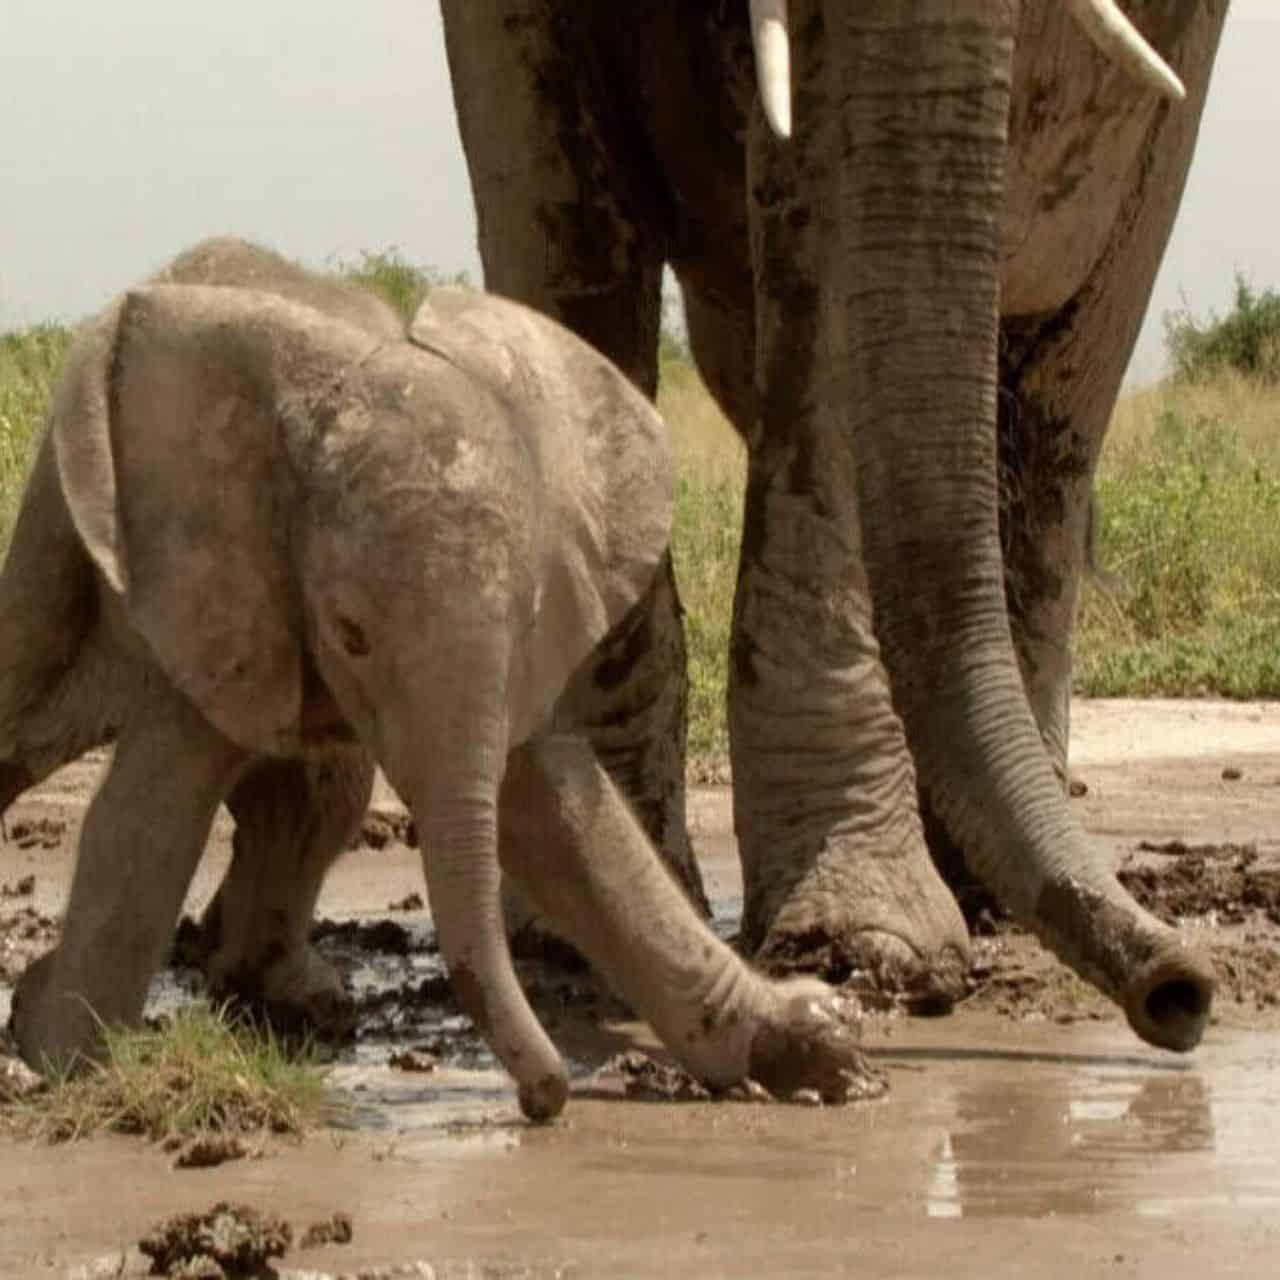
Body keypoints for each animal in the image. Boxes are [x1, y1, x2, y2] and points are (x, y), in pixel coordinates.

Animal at [1, 240, 876, 1119]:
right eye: (349, 635)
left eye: (529, 617)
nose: (547, 1097)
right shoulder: (213, 587)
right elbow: (150, 813)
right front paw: (59, 1054)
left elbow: (558, 818)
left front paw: (816, 1048)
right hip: (54, 535)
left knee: (323, 801)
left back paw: (285, 998)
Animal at [438, 0, 1226, 1049]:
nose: (1179, 994)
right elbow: (552, 200)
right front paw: (581, 927)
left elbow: (823, 215)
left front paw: (863, 949)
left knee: (1067, 394)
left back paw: (982, 890)